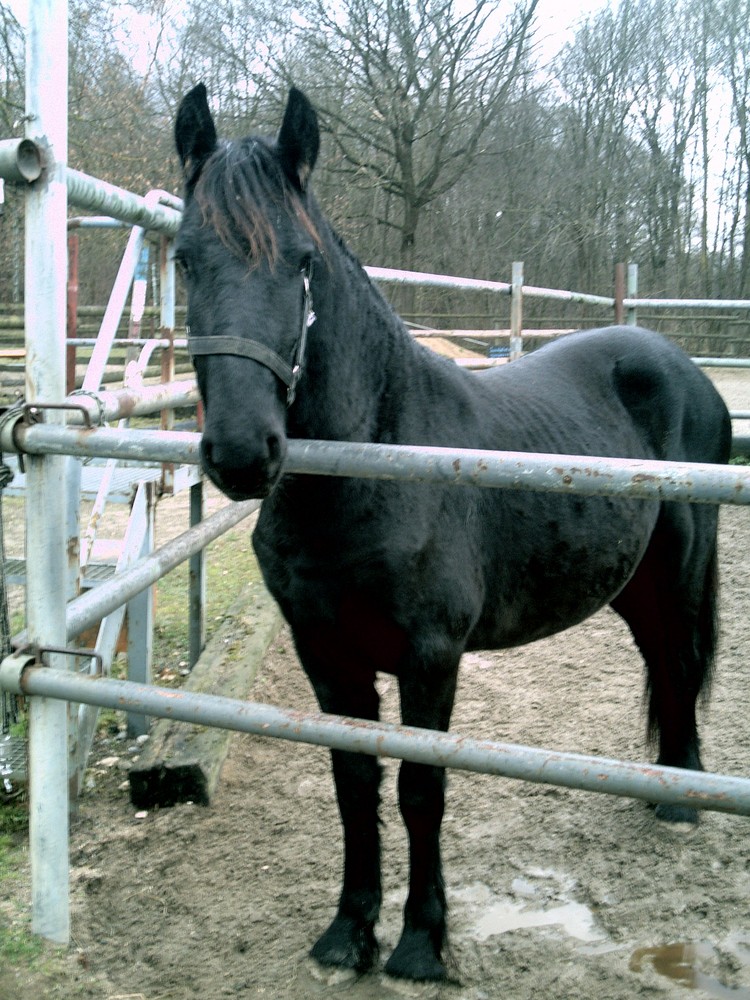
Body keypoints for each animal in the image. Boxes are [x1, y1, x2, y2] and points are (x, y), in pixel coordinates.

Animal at [175, 84, 736, 976]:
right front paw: (348, 932)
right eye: (185, 258)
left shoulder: (430, 658)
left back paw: (682, 801)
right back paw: (663, 785)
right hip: (633, 582)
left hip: (680, 570)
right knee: (661, 662)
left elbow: (420, 790)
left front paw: (419, 944)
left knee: (680, 661)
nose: (239, 452)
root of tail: (673, 358)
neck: (375, 465)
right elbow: (353, 784)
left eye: (302, 261)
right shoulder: (325, 656)